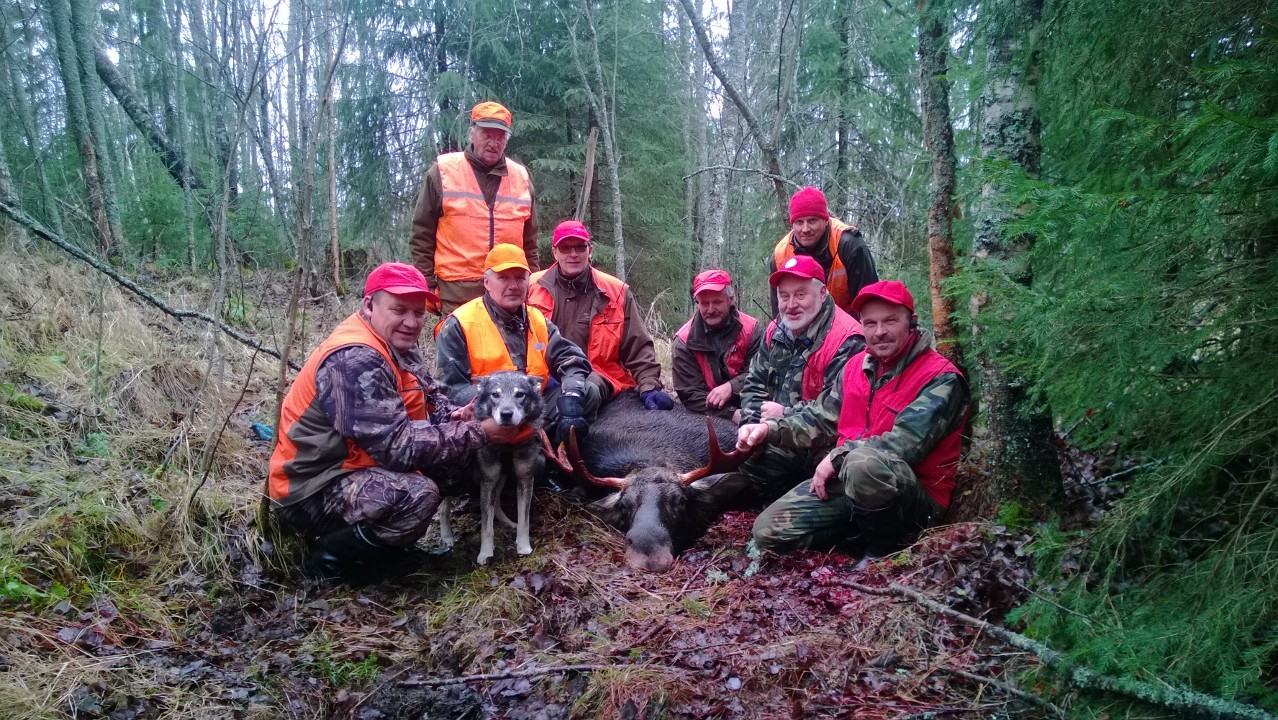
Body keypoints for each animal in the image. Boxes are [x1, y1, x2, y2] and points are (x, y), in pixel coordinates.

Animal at [436, 371, 544, 565]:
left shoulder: (524, 478)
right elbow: (487, 527)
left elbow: (524, 520)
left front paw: (523, 546)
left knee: (498, 503)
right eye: (495, 394)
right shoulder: (487, 480)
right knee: (443, 507)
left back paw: (507, 521)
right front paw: (485, 554)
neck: (508, 444)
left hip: (501, 476)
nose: (506, 414)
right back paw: (447, 536)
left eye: (520, 394)